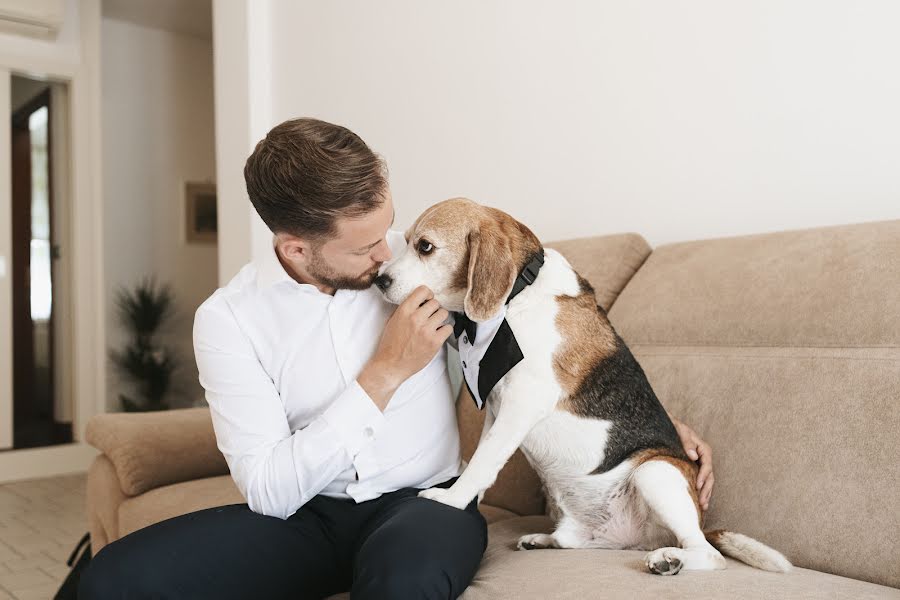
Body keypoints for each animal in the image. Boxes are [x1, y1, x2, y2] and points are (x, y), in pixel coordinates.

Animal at [372, 199, 788, 576]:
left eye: (425, 246)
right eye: (403, 241)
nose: (379, 279)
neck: (519, 295)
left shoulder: (522, 403)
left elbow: (483, 461)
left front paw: (449, 501)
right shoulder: (497, 406)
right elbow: (483, 456)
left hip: (654, 472)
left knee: (709, 555)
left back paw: (670, 560)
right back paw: (544, 540)